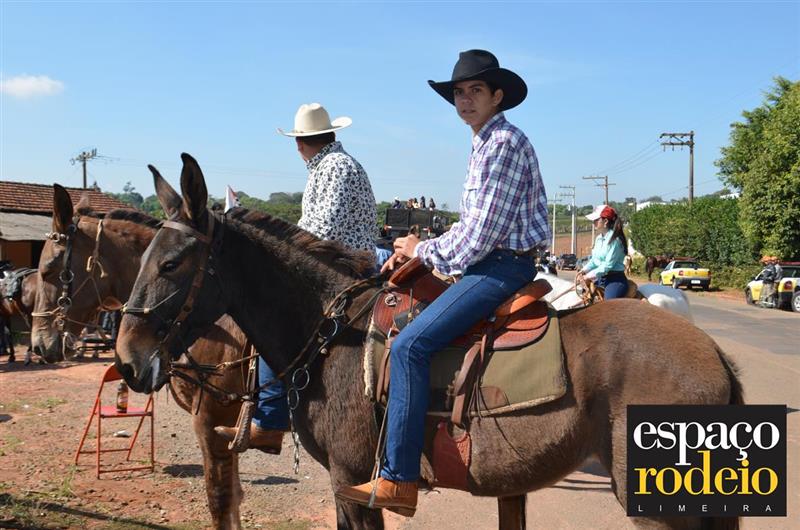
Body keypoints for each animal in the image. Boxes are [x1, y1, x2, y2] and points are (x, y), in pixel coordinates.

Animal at [31, 185, 249, 529]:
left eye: (49, 270)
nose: (38, 344)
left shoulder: (212, 419)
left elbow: (220, 502)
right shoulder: (227, 427)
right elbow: (235, 498)